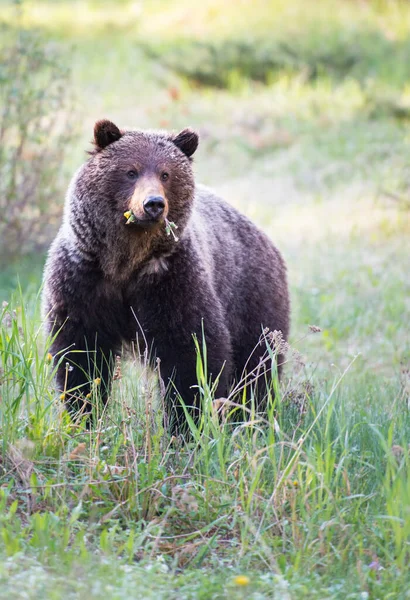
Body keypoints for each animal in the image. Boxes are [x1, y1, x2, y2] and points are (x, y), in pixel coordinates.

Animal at [42, 119, 288, 428]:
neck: (125, 263)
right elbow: (80, 357)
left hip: (251, 296)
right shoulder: (83, 279)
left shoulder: (169, 279)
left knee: (257, 366)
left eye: (166, 173)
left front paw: (187, 422)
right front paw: (83, 416)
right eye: (131, 171)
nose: (153, 203)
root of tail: (263, 235)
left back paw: (253, 418)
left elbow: (191, 353)